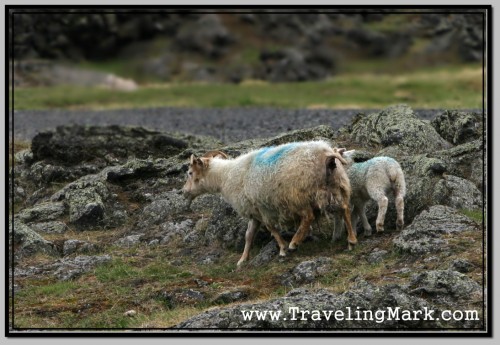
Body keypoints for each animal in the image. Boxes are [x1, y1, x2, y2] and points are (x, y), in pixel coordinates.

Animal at [182, 140, 358, 266]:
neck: (226, 176)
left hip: (299, 195)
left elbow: (271, 228)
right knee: (345, 209)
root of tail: (327, 153)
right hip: (338, 186)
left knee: (308, 217)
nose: (183, 192)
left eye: (190, 173)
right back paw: (351, 240)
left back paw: (294, 242)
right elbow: (249, 235)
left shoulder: (262, 208)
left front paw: (283, 248)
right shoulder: (253, 211)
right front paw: (242, 259)